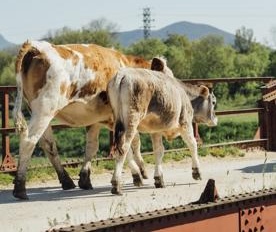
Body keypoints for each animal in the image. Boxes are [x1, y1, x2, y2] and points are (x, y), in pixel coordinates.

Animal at [12, 40, 151, 199]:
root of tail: (37, 45)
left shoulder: (96, 120)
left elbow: (92, 146)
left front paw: (85, 179)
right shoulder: (120, 118)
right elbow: (131, 144)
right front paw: (138, 173)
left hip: (38, 111)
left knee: (48, 144)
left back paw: (66, 181)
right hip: (44, 110)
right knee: (29, 141)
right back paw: (20, 188)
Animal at [108, 57, 218, 194]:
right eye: (213, 102)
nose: (215, 119)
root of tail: (122, 74)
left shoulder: (156, 130)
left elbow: (159, 150)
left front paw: (159, 178)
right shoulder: (185, 122)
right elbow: (192, 144)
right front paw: (196, 172)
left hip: (118, 121)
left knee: (124, 150)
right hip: (131, 121)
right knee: (124, 148)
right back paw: (117, 183)